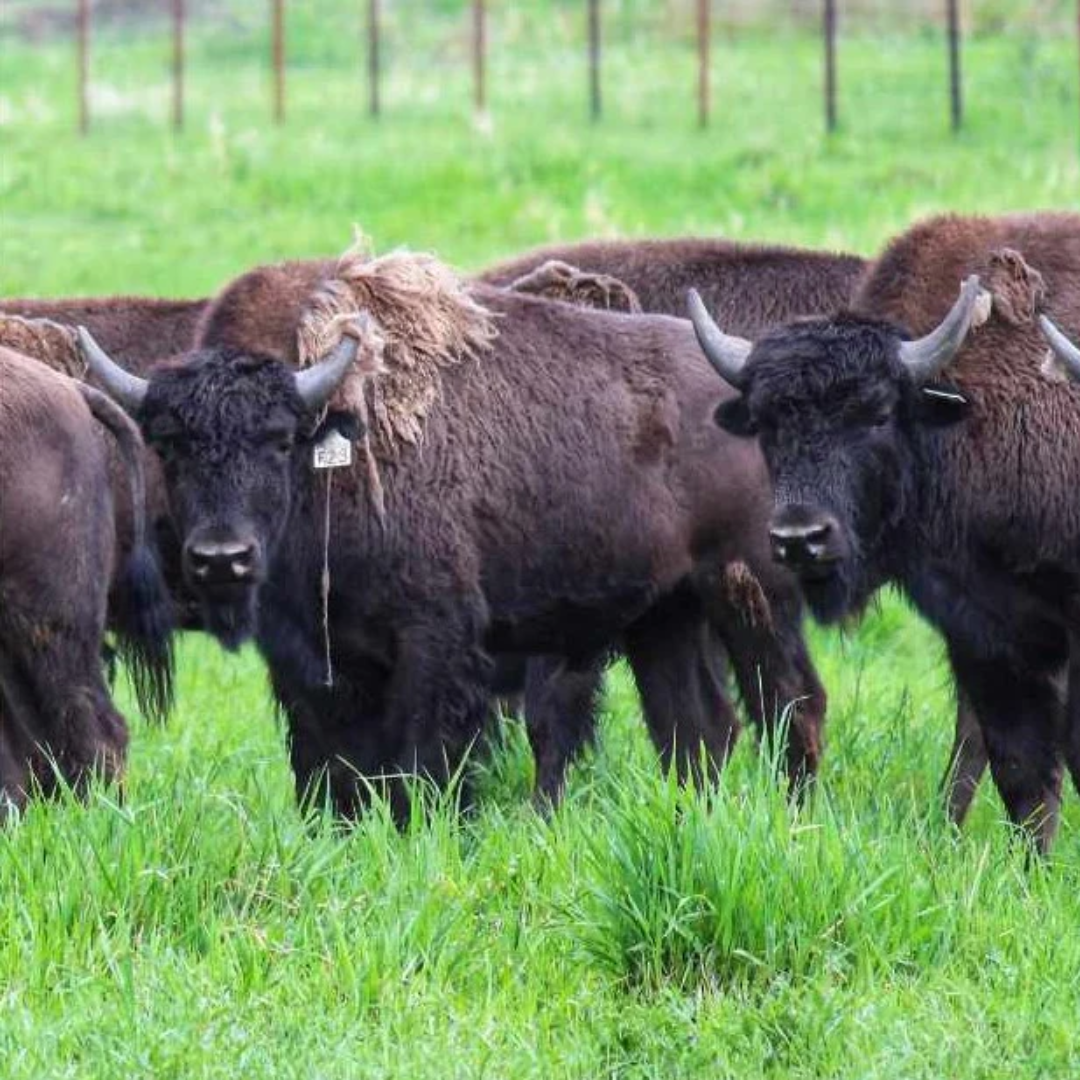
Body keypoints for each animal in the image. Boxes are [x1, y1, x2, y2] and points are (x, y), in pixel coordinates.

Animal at [78, 249, 824, 822]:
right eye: (169, 446)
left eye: (279, 440)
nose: (222, 558)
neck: (335, 441)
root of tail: (740, 388)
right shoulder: (308, 662)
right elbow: (332, 772)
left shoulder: (433, 644)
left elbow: (422, 766)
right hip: (663, 617)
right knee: (699, 730)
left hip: (750, 591)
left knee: (792, 705)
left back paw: (799, 818)